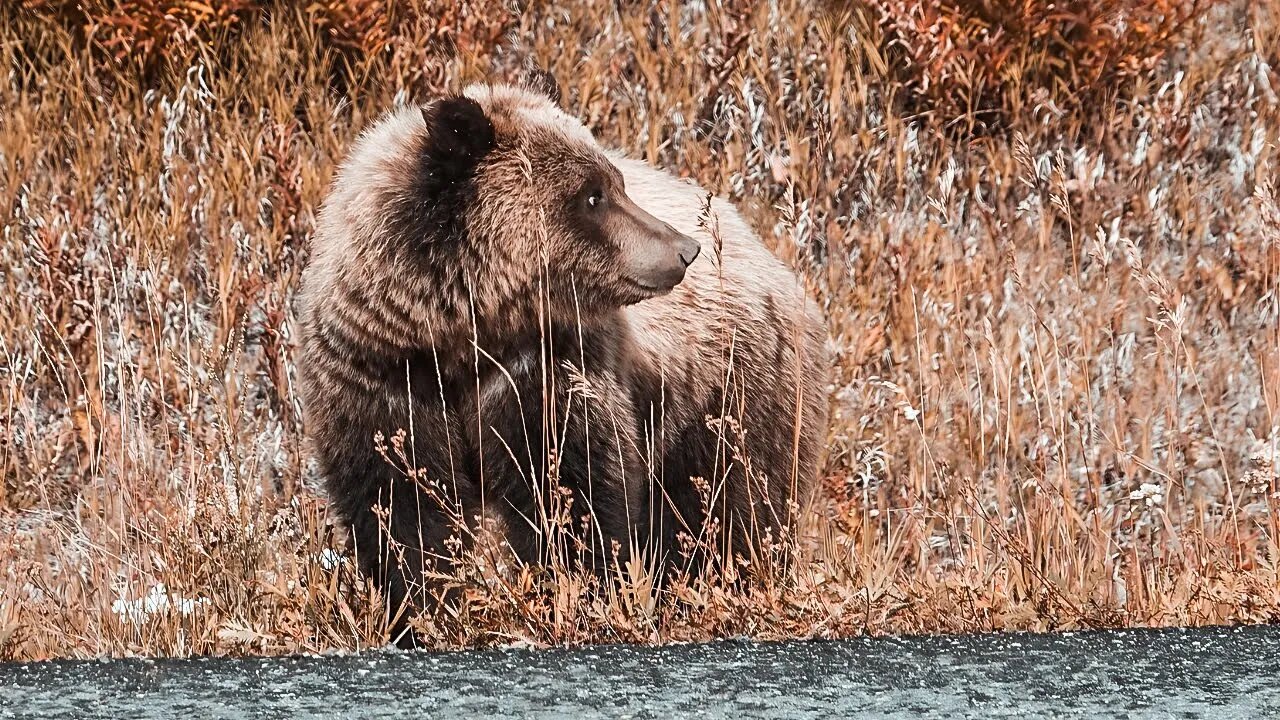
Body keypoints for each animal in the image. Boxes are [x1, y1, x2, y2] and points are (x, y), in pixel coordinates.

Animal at [295, 77, 829, 638]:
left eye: (615, 182)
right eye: (593, 194)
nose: (685, 249)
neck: (465, 333)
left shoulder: (551, 366)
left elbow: (572, 490)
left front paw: (583, 593)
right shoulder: (381, 374)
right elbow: (401, 507)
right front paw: (423, 612)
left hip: (728, 395)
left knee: (729, 509)